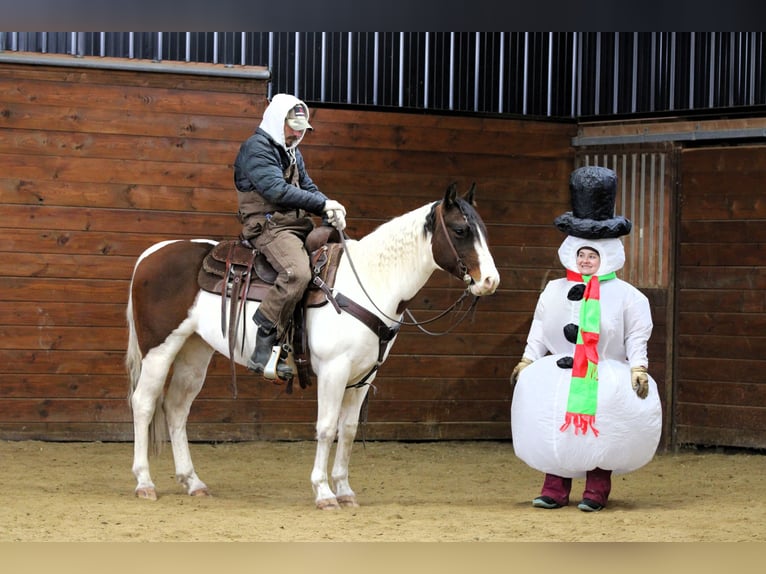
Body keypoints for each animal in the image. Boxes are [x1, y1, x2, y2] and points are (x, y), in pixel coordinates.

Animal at [125, 182, 500, 509]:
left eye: (482, 228)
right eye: (460, 230)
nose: (489, 281)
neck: (370, 282)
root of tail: (150, 254)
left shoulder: (363, 378)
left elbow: (347, 431)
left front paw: (345, 491)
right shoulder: (335, 370)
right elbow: (326, 427)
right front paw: (323, 492)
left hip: (194, 351)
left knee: (176, 408)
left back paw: (193, 482)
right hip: (159, 349)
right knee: (143, 403)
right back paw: (144, 482)